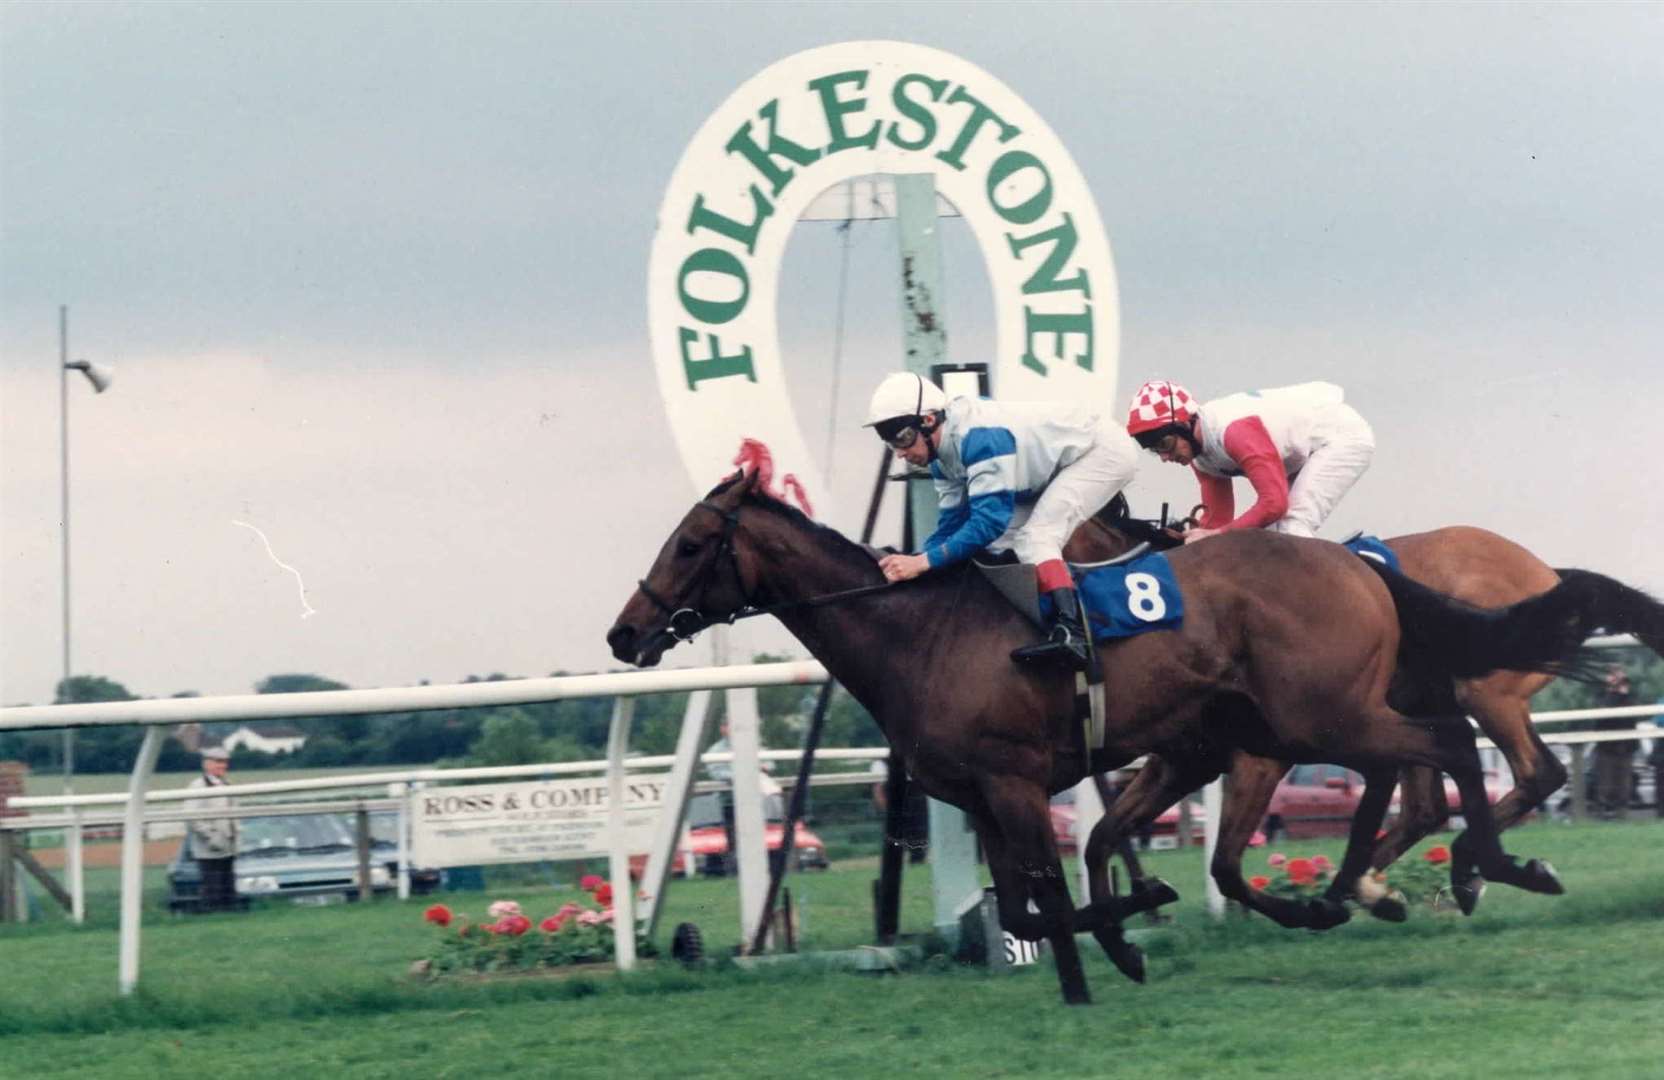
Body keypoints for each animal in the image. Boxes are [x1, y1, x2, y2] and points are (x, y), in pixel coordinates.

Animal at [612, 472, 1610, 1005]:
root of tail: (1352, 562)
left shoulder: (1018, 782)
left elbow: (1058, 895)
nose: (625, 634)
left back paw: (1480, 866)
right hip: (1307, 719)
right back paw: (1385, 884)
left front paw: (1117, 939)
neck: (921, 632)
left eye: (693, 543)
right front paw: (1116, 945)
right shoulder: (984, 797)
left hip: (1319, 714)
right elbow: (1028, 905)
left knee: (1448, 745)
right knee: (1419, 765)